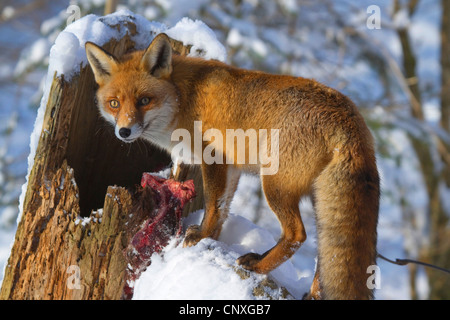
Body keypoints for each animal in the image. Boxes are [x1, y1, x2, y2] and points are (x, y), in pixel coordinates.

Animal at [85, 33, 380, 298]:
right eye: (114, 103)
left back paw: (258, 265)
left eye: (144, 101)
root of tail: (350, 119)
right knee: (326, 256)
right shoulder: (231, 167)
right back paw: (314, 293)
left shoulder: (214, 156)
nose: (124, 131)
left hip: (274, 185)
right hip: (318, 203)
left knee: (297, 235)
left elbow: (213, 205)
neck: (184, 98)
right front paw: (211, 237)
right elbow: (222, 208)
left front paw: (201, 236)